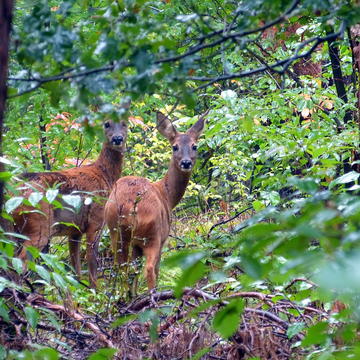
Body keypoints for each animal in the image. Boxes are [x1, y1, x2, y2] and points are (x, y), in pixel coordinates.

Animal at [13, 100, 131, 288]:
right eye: (106, 123)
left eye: (124, 123)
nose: (117, 139)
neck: (105, 174)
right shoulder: (96, 221)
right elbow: (91, 263)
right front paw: (95, 292)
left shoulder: (75, 230)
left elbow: (76, 270)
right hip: (39, 226)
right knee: (20, 262)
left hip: (17, 230)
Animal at [102, 109, 208, 290]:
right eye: (175, 146)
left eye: (194, 146)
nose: (186, 163)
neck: (167, 195)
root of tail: (131, 208)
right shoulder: (163, 237)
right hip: (152, 235)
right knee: (150, 270)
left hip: (115, 232)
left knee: (121, 269)